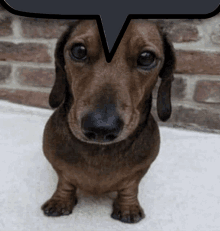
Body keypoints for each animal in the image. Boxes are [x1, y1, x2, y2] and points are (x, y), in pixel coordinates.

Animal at [41, 19, 175, 224]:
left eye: (146, 57)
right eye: (79, 50)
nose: (101, 128)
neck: (99, 152)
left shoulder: (140, 170)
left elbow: (130, 187)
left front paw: (128, 207)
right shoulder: (59, 166)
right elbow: (65, 181)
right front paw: (60, 200)